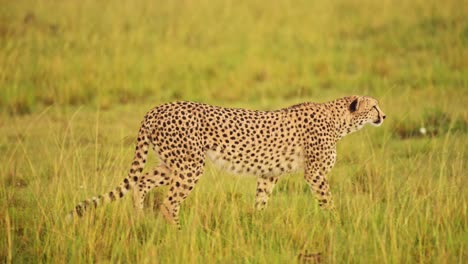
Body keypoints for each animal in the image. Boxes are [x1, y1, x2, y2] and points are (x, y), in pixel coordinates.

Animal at [66, 96, 388, 226]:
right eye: (373, 106)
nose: (384, 116)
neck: (340, 121)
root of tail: (156, 108)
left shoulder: (269, 174)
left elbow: (261, 202)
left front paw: (255, 227)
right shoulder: (315, 174)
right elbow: (327, 201)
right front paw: (337, 223)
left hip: (170, 163)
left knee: (141, 183)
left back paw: (140, 221)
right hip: (190, 165)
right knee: (169, 203)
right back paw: (178, 234)